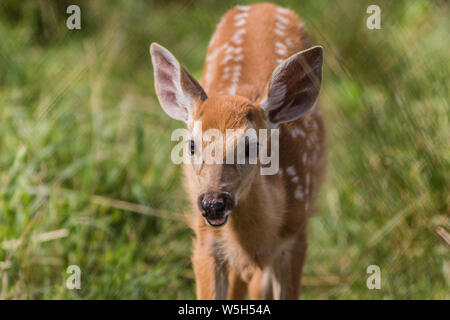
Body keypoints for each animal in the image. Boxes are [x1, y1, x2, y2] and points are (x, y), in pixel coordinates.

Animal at [149, 2, 326, 298]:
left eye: (251, 145)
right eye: (191, 144)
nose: (213, 204)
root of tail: (262, 5)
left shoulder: (297, 235)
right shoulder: (205, 242)